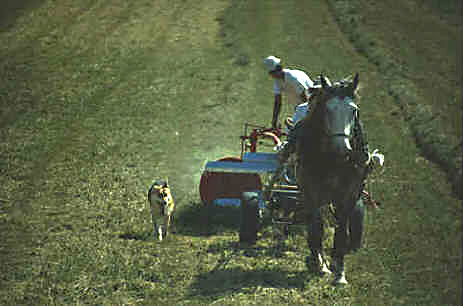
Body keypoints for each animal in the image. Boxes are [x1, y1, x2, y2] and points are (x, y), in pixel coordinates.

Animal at [298, 73, 370, 284]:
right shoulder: (312, 191)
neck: (334, 161)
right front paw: (320, 263)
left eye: (354, 110)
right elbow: (317, 226)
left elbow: (342, 229)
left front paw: (339, 270)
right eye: (327, 109)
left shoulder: (349, 194)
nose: (341, 148)